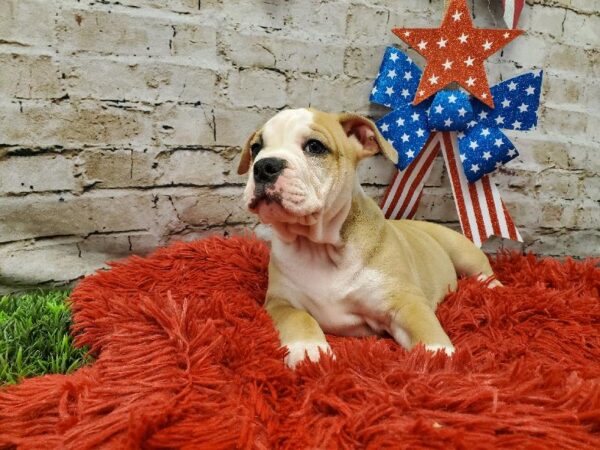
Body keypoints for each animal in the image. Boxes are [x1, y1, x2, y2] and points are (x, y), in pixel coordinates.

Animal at [238, 110, 496, 370]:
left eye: (314, 146)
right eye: (256, 148)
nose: (264, 166)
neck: (320, 246)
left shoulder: (404, 301)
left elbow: (425, 326)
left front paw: (440, 358)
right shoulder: (280, 302)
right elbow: (299, 318)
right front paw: (309, 351)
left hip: (463, 252)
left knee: (485, 273)